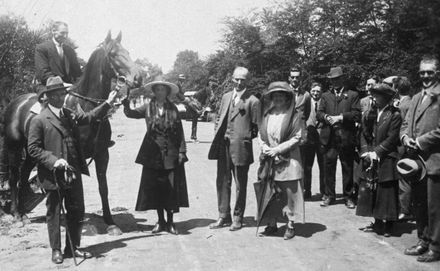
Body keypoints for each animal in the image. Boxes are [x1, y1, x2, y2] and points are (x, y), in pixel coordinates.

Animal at [0, 31, 142, 236]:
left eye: (128, 52)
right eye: (114, 54)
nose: (138, 77)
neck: (86, 106)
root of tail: (15, 103)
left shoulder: (102, 154)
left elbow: (103, 187)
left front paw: (110, 222)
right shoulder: (73, 155)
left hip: (33, 153)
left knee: (24, 176)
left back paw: (24, 213)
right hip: (14, 148)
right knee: (13, 178)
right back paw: (17, 215)